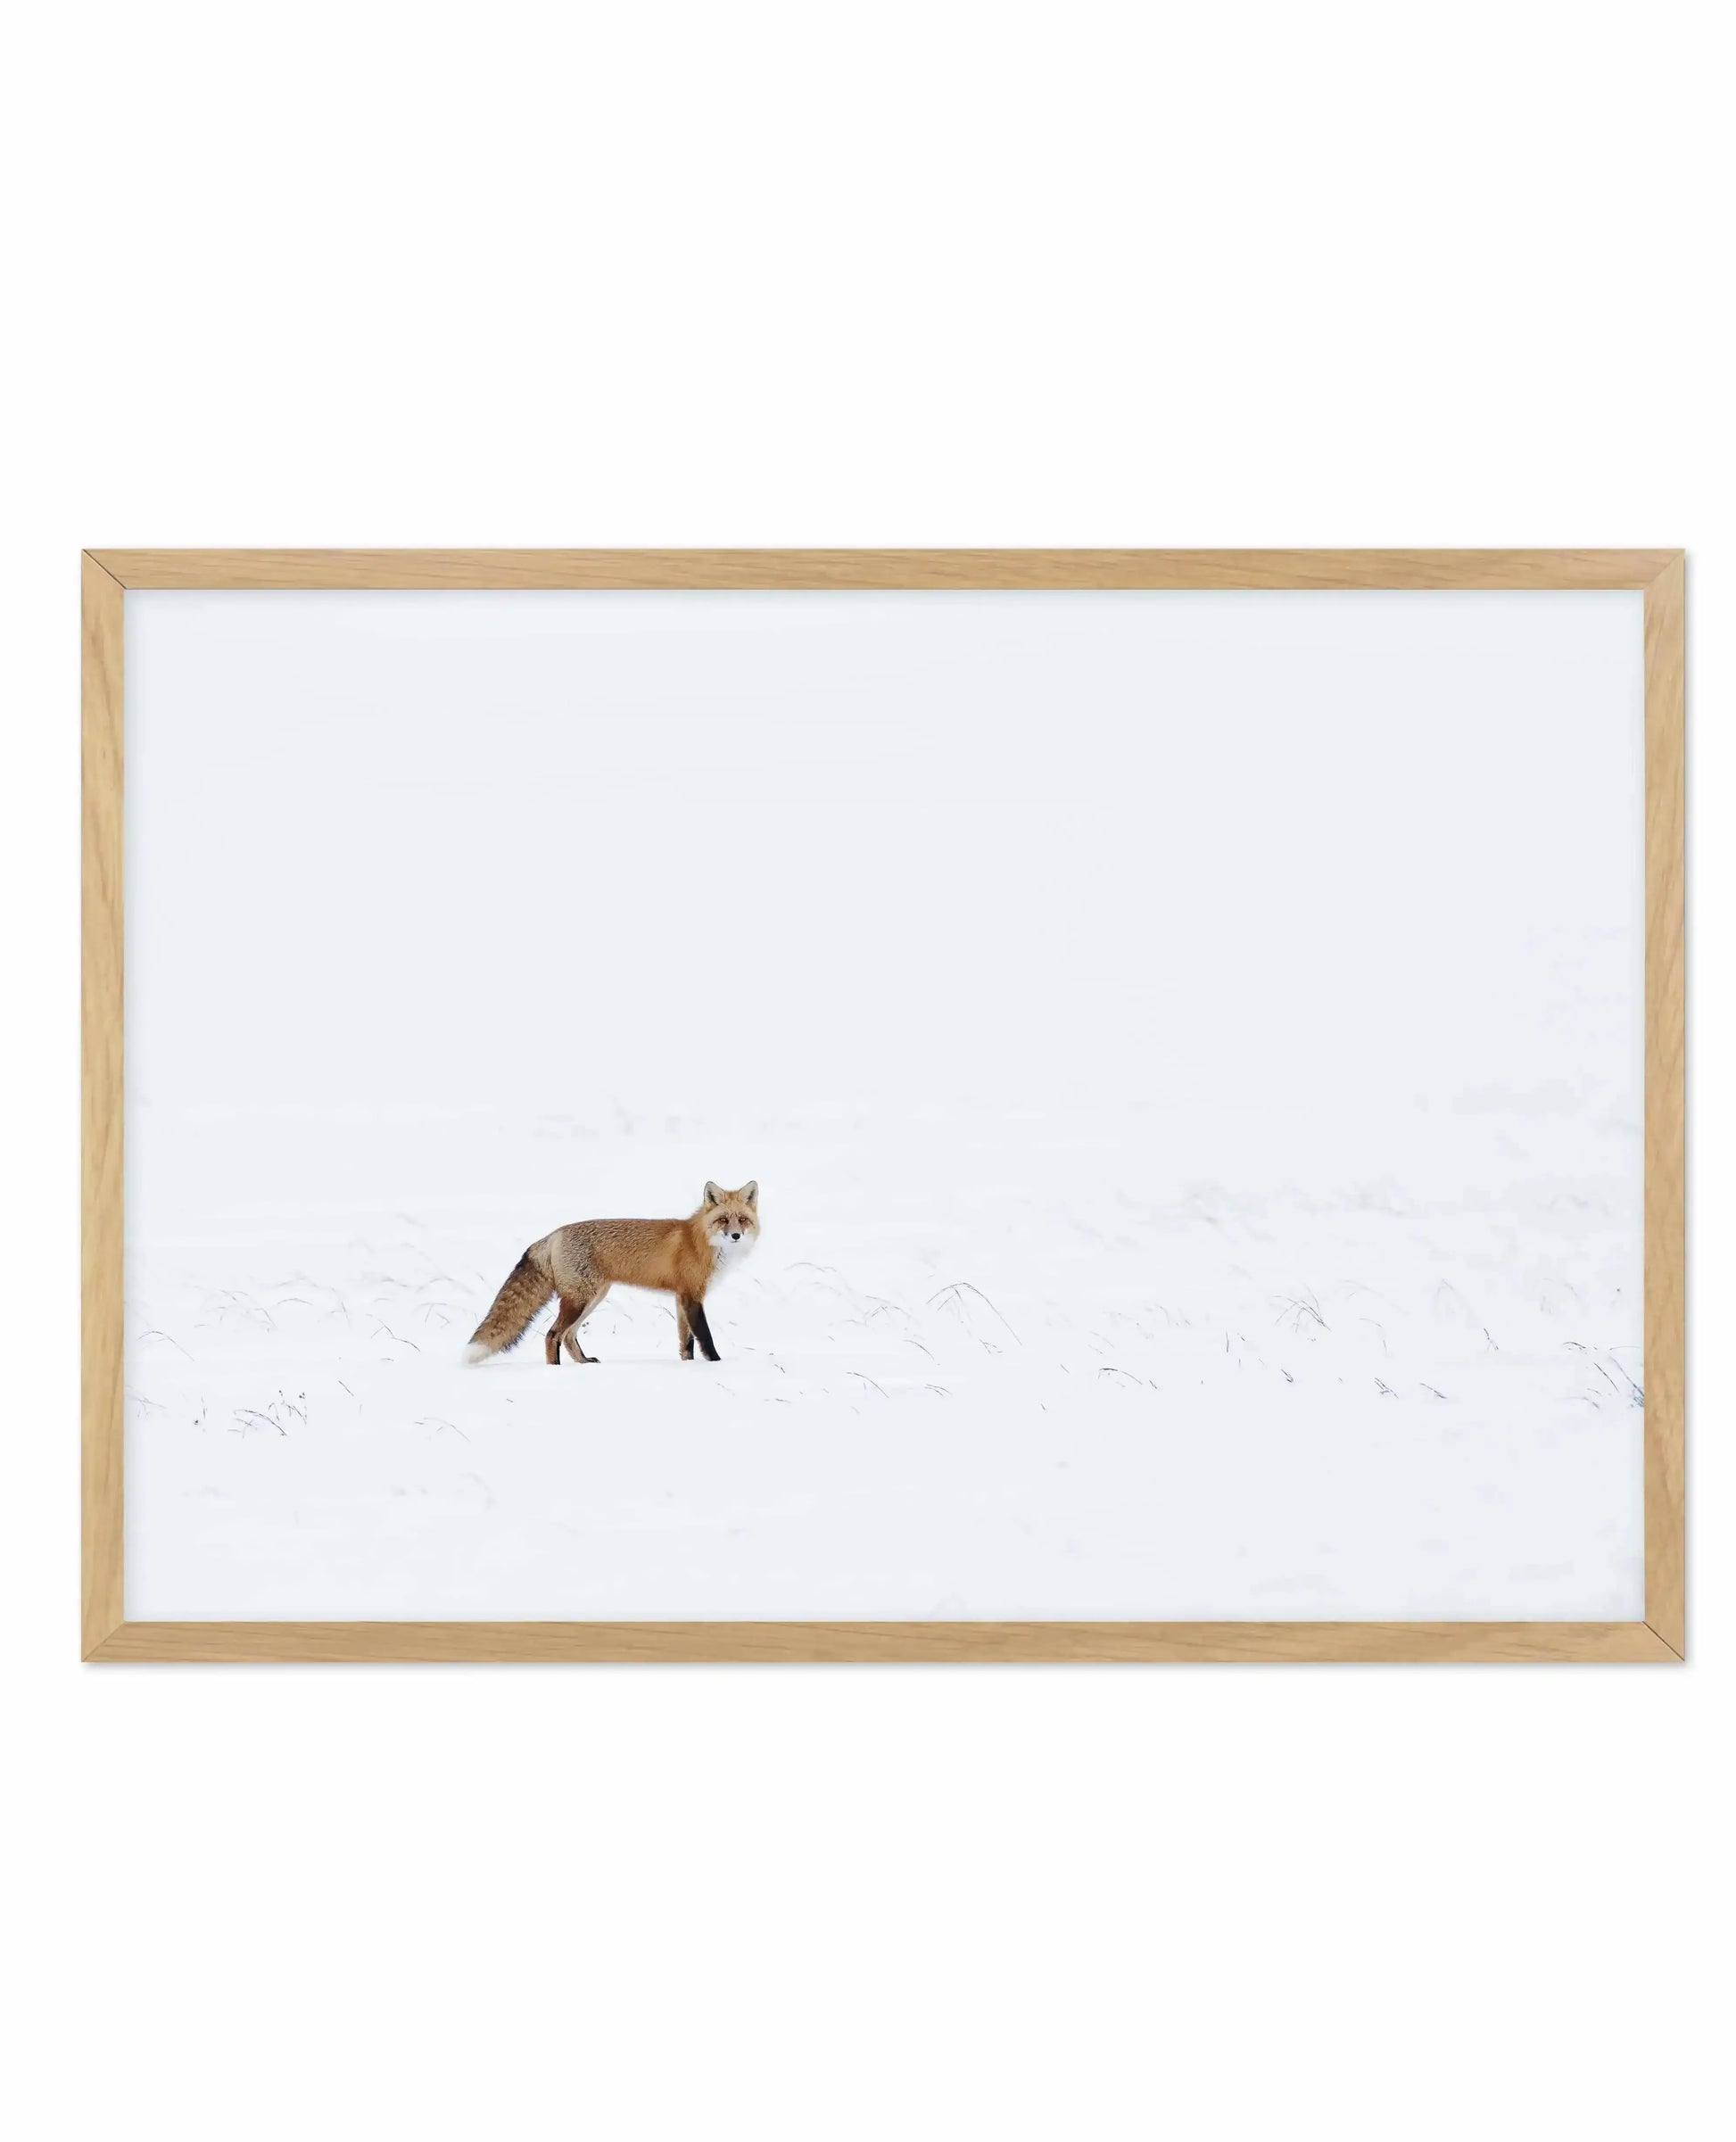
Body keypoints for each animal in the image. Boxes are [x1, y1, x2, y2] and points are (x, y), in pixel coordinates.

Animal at [464, 1181, 760, 1366]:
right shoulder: (692, 1296)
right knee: (552, 1335)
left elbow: (685, 1342)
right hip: (580, 1299)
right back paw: (555, 1371)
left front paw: (690, 1367)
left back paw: (584, 1363)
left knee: (568, 1336)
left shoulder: (681, 1298)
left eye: (743, 1220)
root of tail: (554, 1234)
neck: (701, 1241)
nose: (735, 1235)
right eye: (723, 1220)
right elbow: (705, 1338)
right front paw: (715, 1364)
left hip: (593, 1298)